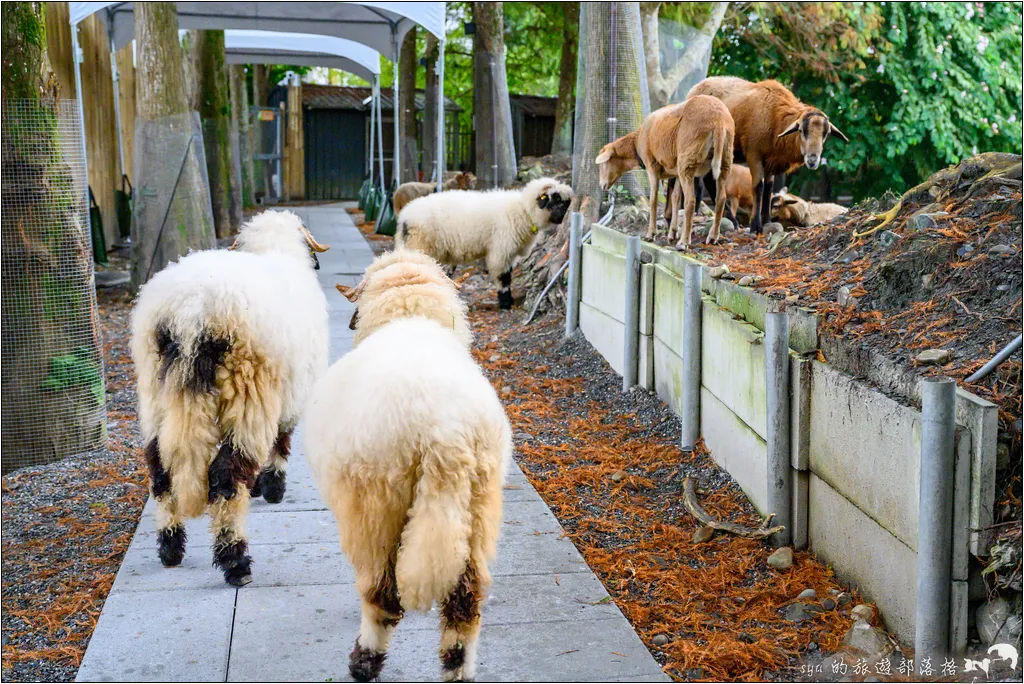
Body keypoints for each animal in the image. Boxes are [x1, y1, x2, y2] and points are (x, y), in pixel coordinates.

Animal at [128, 210, 327, 585]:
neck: (276, 250)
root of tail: (190, 310)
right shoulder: (289, 398)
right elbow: (281, 443)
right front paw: (271, 487)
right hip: (248, 394)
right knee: (226, 477)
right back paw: (236, 561)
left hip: (154, 394)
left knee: (160, 471)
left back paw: (170, 547)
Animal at [305, 250, 509, 684]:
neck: (409, 315)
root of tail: (446, 433)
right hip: (479, 505)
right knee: (466, 598)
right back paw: (458, 669)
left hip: (375, 506)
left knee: (380, 594)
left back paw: (364, 661)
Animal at [391, 176, 573, 307]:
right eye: (556, 199)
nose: (564, 217)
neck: (523, 211)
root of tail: (404, 218)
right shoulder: (501, 250)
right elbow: (503, 277)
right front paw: (505, 302)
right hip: (420, 246)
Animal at [688, 77, 847, 235]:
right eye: (801, 130)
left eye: (825, 134)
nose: (813, 160)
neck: (776, 119)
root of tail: (696, 88)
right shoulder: (754, 154)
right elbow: (758, 187)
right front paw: (755, 226)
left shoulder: (771, 160)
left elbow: (769, 189)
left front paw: (767, 221)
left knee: (708, 179)